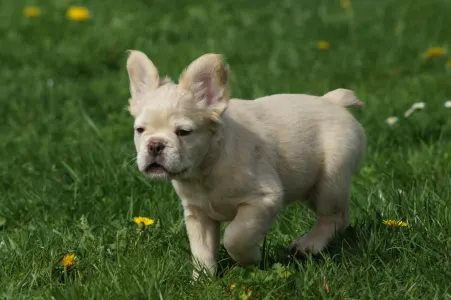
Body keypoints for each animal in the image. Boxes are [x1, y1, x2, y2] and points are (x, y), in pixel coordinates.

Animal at [126, 49, 368, 278]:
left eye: (184, 132)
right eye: (140, 130)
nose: (155, 145)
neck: (206, 168)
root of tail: (333, 101)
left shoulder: (263, 200)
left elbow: (235, 237)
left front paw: (251, 258)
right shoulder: (198, 214)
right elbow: (202, 250)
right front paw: (202, 280)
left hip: (330, 180)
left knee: (335, 217)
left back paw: (308, 245)